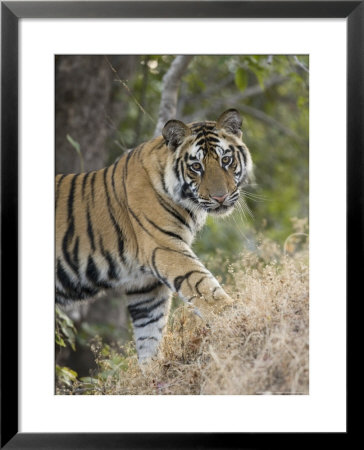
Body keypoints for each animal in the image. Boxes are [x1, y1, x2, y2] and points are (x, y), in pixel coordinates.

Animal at [55, 110, 253, 366]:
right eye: (196, 166)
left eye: (226, 160)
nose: (220, 197)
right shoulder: (166, 248)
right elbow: (202, 286)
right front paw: (234, 317)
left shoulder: (144, 285)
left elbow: (150, 333)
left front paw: (152, 370)